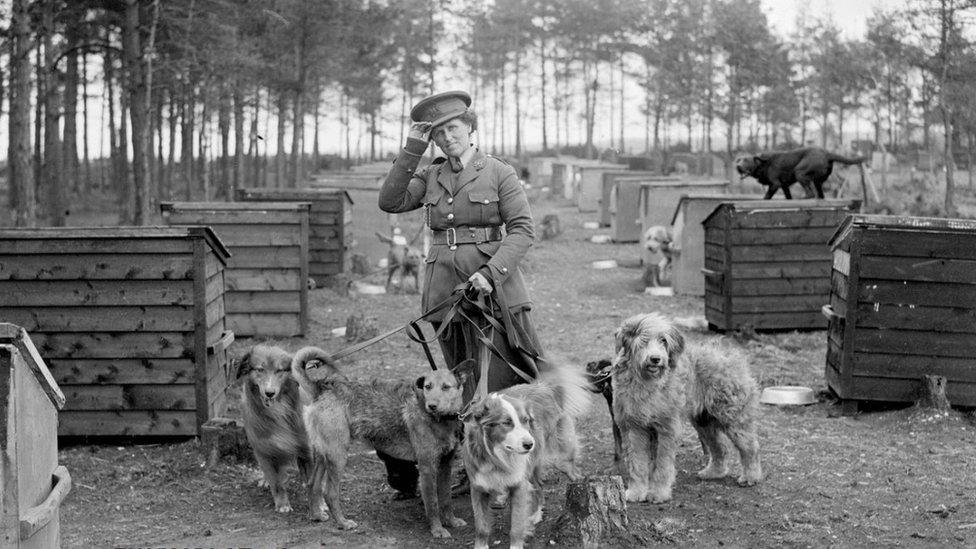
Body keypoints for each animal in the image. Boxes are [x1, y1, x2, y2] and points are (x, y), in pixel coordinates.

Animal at [237, 344, 316, 512]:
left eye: (280, 370)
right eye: (260, 369)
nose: (269, 393)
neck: (278, 411)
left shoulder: (306, 448)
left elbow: (313, 482)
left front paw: (320, 506)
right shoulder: (265, 451)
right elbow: (277, 482)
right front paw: (283, 504)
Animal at [292, 348, 468, 536]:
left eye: (446, 387)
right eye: (428, 387)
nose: (432, 406)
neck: (441, 420)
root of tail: (321, 389)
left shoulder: (445, 465)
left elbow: (446, 499)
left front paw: (451, 521)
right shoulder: (427, 467)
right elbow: (433, 503)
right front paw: (437, 530)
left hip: (323, 455)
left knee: (312, 484)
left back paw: (316, 515)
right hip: (337, 456)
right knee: (329, 493)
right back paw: (343, 523)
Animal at [608, 310, 764, 504]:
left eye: (663, 340)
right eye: (643, 339)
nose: (655, 359)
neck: (647, 382)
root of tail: (729, 355)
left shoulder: (667, 428)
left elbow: (662, 465)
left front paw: (658, 493)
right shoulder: (633, 428)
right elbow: (637, 464)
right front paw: (637, 492)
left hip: (733, 417)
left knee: (751, 447)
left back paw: (751, 476)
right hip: (704, 422)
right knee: (721, 448)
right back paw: (714, 472)